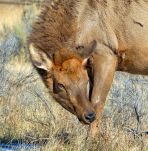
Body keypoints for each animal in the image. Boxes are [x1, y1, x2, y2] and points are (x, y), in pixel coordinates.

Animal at [28, 0, 148, 137]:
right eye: (60, 84)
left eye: (85, 81)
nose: (89, 116)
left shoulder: (107, 55)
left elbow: (97, 100)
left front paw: (91, 138)